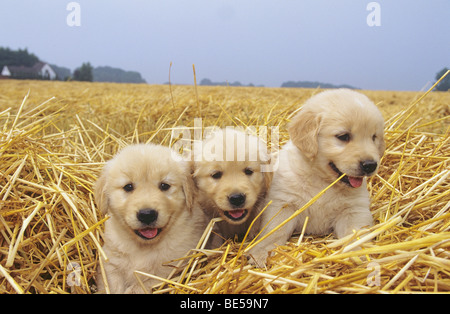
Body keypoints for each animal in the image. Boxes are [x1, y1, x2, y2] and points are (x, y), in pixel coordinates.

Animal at [96, 144, 207, 294]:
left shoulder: (167, 270)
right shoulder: (110, 263)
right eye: (128, 187)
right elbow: (112, 285)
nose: (147, 214)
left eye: (164, 186)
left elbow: (139, 286)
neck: (143, 247)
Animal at [248, 89, 384, 266]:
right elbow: (273, 232)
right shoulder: (284, 205)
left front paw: (360, 254)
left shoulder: (353, 210)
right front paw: (260, 253)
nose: (370, 165)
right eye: (343, 136)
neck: (323, 180)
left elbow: (355, 235)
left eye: (374, 137)